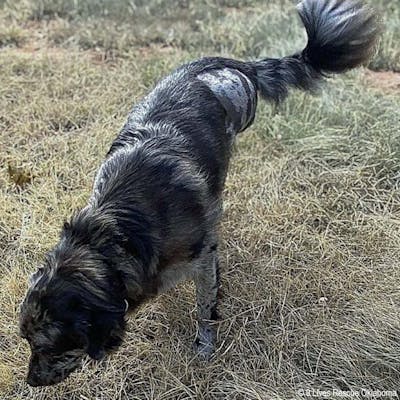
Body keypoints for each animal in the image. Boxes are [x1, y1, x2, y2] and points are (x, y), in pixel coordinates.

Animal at [19, 0, 379, 387]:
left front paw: (205, 346)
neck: (115, 233)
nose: (30, 381)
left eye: (50, 346)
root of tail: (227, 64)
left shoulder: (203, 260)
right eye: (26, 340)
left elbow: (205, 307)